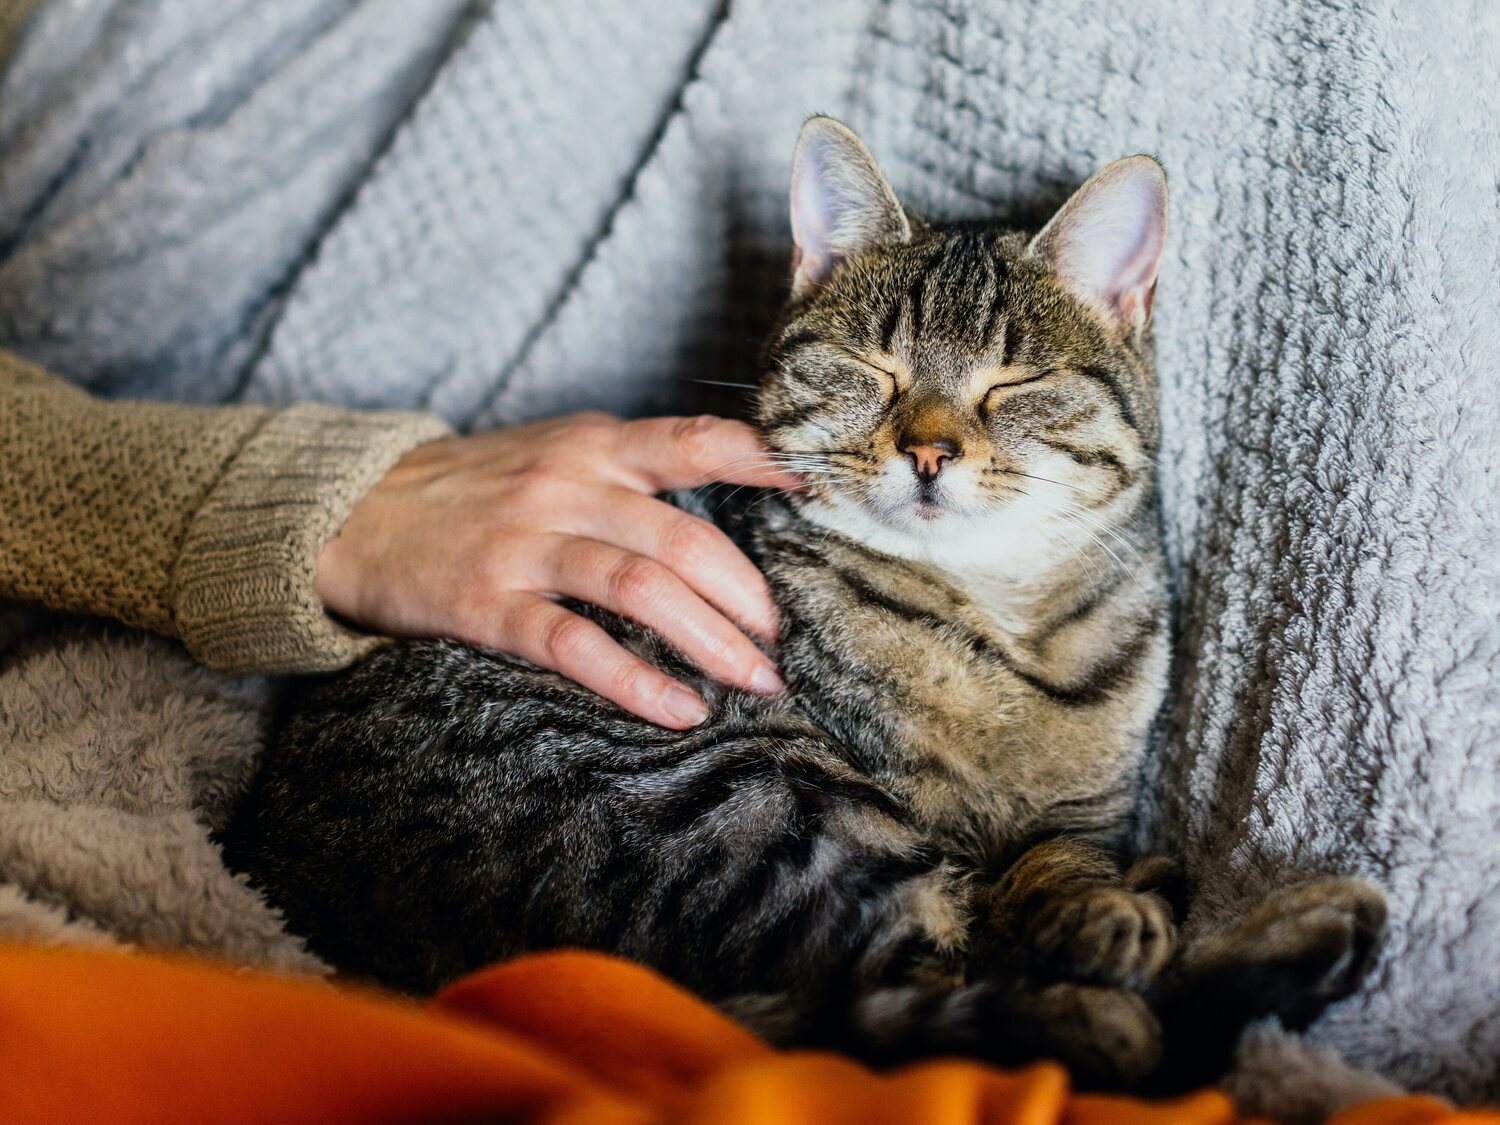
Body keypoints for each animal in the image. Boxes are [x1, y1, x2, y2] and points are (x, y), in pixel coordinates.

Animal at [219, 117, 1380, 1092]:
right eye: (874, 368)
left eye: (1010, 385)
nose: (928, 451)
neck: (1002, 621)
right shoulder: (925, 830)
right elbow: (1012, 912)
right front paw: (1109, 923)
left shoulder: (1083, 811)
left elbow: (1060, 858)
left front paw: (1096, 897)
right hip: (756, 791)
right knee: (962, 1003)